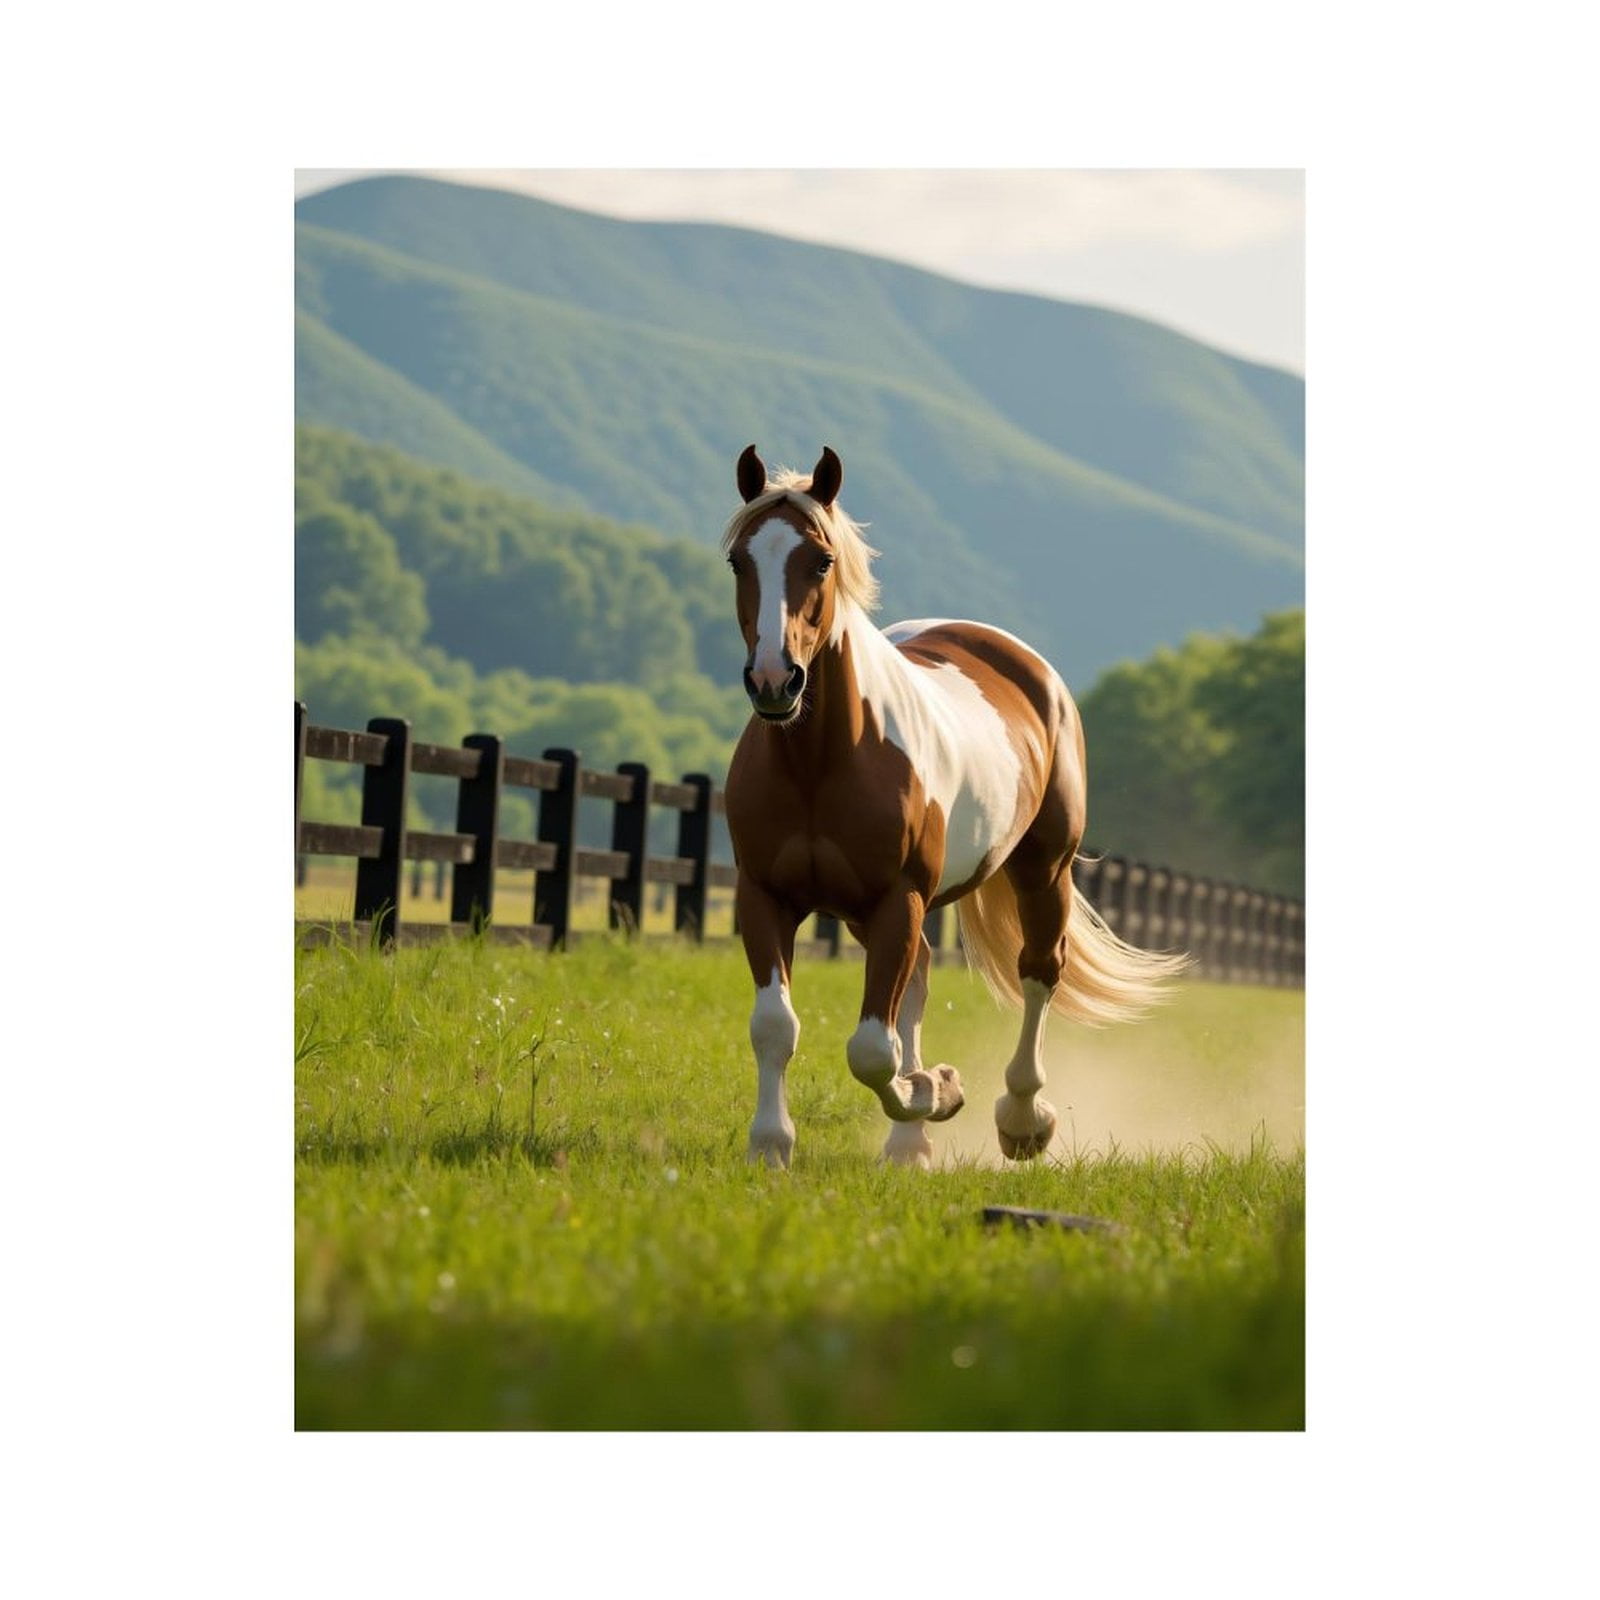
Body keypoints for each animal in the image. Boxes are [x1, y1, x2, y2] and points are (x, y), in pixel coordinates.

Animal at [721, 444, 1190, 1170]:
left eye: (820, 561)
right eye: (739, 561)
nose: (775, 681)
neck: (821, 764)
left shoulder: (899, 900)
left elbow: (871, 1049)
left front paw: (935, 1089)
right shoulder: (765, 896)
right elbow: (778, 1026)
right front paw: (772, 1145)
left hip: (1042, 872)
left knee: (1038, 975)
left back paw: (1021, 1121)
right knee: (917, 984)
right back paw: (908, 1144)